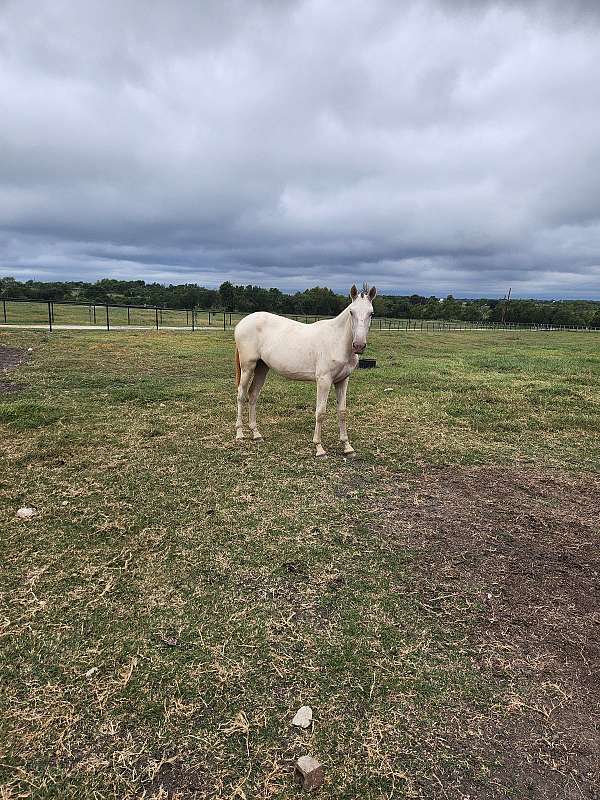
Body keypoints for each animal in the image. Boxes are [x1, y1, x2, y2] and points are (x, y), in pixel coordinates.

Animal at [233, 282, 376, 456]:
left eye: (371, 313)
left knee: (253, 395)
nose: (359, 346)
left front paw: (347, 446)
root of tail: (242, 323)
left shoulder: (342, 380)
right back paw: (240, 434)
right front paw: (319, 448)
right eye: (351, 312)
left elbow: (342, 412)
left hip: (262, 367)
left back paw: (256, 434)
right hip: (248, 367)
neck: (337, 340)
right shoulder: (324, 380)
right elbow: (320, 412)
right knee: (241, 395)